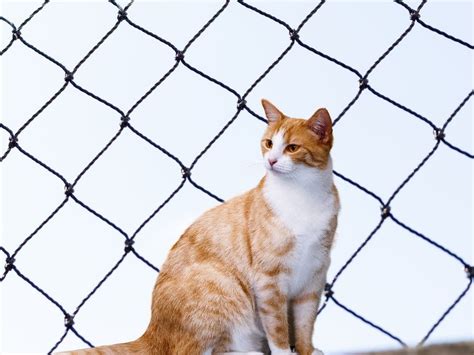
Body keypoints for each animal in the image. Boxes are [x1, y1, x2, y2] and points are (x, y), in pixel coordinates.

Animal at [61, 98, 338, 354]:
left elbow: (304, 325)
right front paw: (284, 352)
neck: (303, 195)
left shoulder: (312, 279)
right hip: (220, 285)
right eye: (268, 143)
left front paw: (307, 350)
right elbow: (278, 329)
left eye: (292, 148)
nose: (270, 160)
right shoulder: (270, 282)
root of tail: (152, 333)